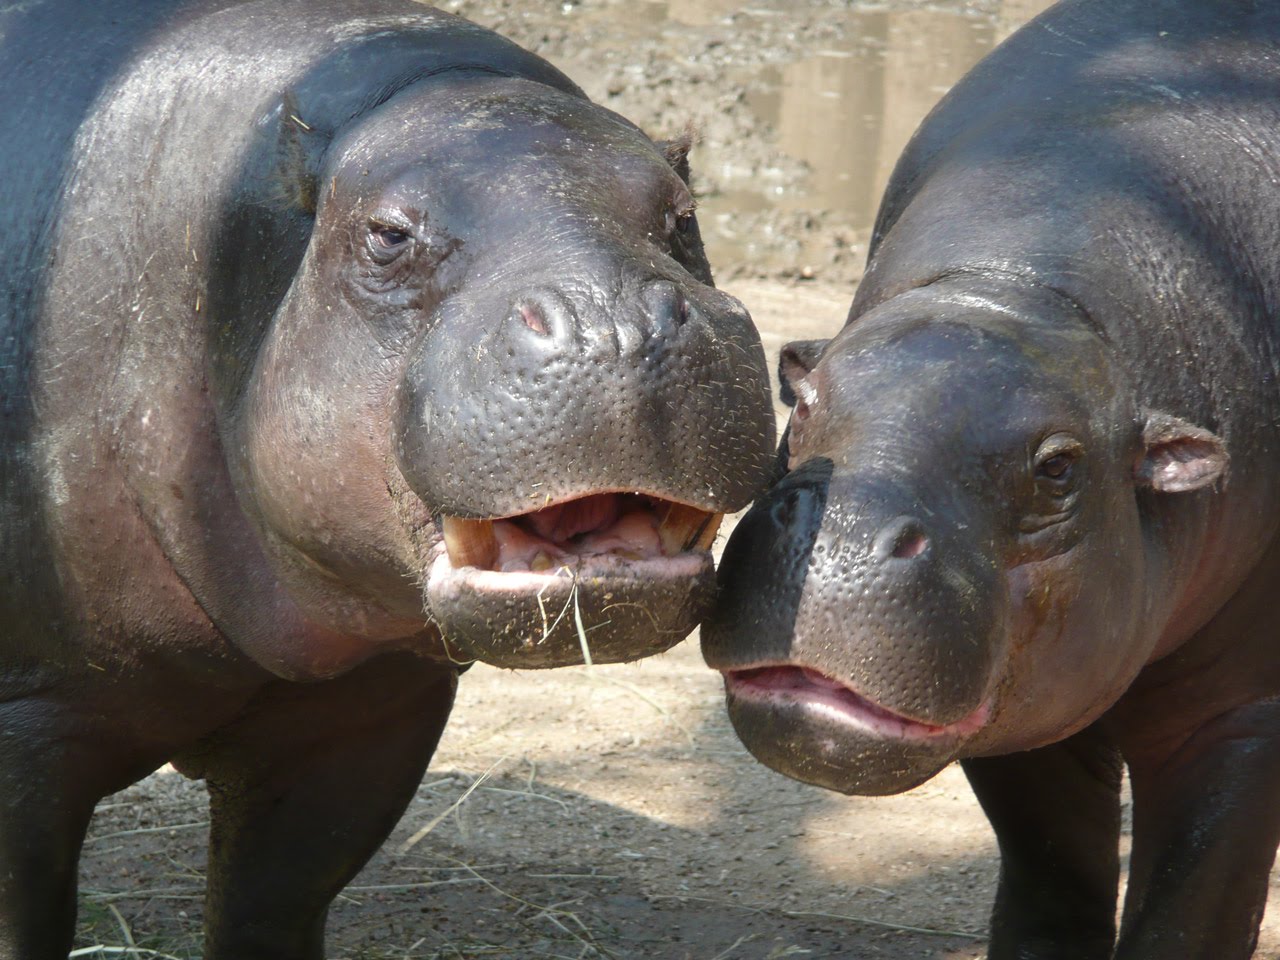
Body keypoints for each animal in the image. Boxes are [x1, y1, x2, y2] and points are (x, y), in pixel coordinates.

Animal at [0, 0, 775, 954]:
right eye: (387, 235)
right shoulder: (27, 723)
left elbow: (272, 905)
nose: (616, 321)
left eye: (683, 216)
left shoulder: (366, 716)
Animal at [704, 1, 1280, 956]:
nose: (842, 539)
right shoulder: (1030, 712)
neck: (1016, 299)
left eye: (1059, 468)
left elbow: (1191, 912)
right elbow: (1055, 878)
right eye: (805, 396)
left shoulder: (1237, 717)